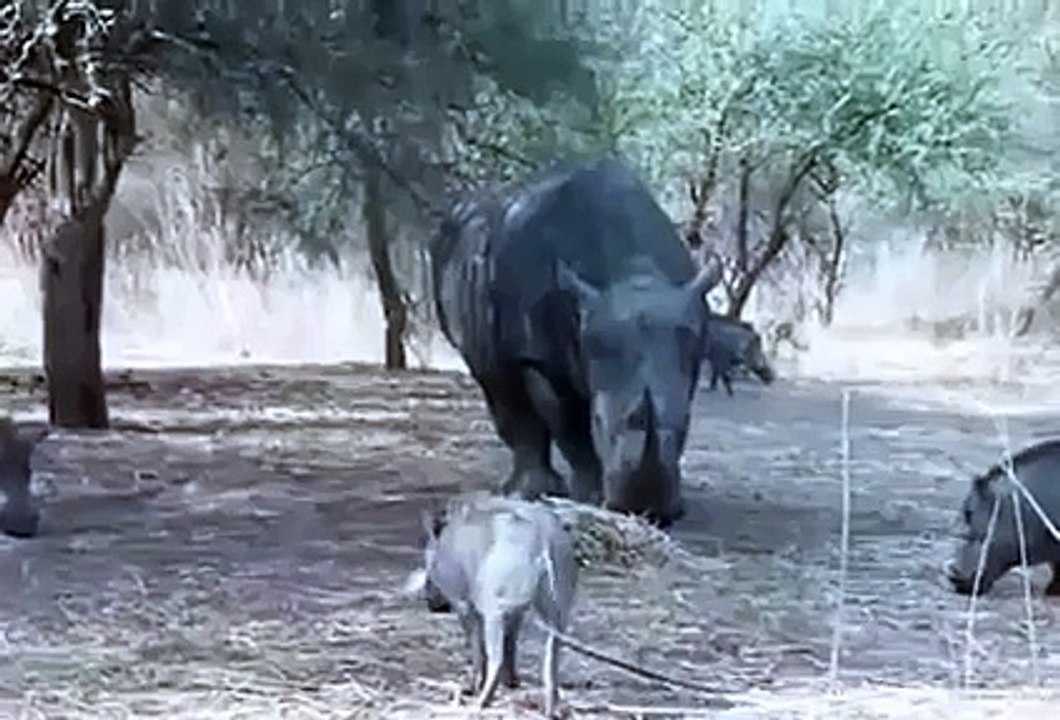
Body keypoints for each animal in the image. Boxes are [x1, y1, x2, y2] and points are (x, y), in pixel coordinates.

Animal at [430, 157, 722, 526]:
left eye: (687, 426)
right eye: (599, 423)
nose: (647, 510)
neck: (633, 272)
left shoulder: (687, 356)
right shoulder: (539, 355)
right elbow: (570, 425)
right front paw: (592, 498)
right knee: (495, 378)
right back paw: (529, 491)